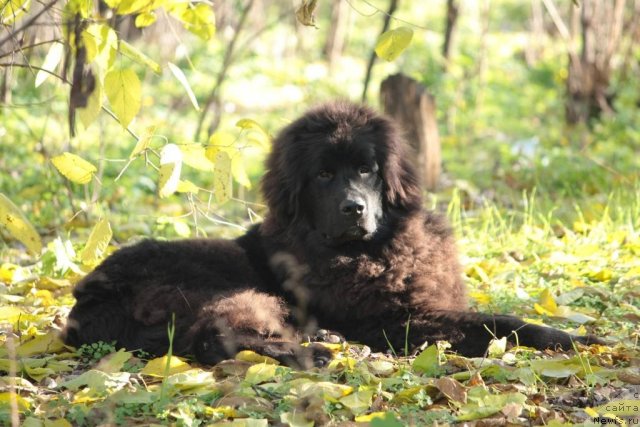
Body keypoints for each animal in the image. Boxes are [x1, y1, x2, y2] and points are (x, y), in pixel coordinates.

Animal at [65, 102, 600, 366]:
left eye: (366, 169)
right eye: (323, 175)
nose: (353, 208)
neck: (375, 251)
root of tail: (87, 299)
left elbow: (511, 318)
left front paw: (574, 336)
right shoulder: (397, 321)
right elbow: (498, 321)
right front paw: (569, 337)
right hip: (221, 287)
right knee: (213, 337)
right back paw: (313, 351)